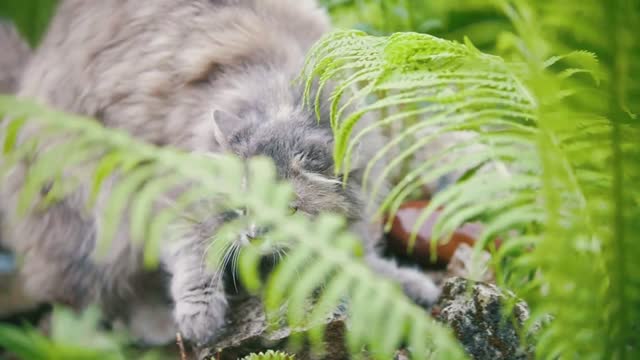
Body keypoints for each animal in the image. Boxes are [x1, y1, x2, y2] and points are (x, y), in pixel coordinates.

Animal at [0, 0, 440, 344]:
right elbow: (193, 259)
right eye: (243, 207)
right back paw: (159, 326)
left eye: (289, 210)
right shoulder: (170, 193)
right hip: (96, 216)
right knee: (98, 300)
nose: (253, 236)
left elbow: (358, 252)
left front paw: (403, 283)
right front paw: (200, 318)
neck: (279, 94)